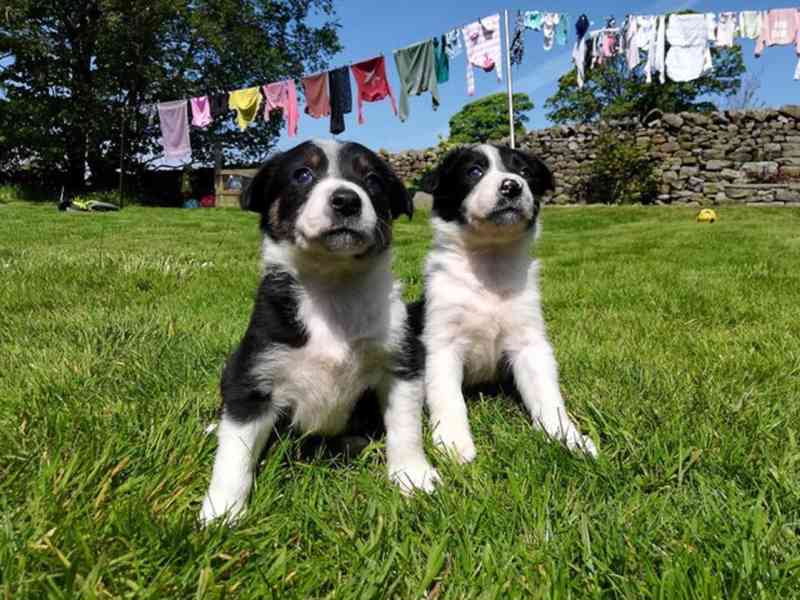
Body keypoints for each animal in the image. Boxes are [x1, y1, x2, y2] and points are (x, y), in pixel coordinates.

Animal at [200, 141, 438, 524]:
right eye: (302, 174)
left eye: (372, 179)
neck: (332, 287)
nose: (347, 200)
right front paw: (223, 512)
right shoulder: (252, 377)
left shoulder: (401, 362)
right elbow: (234, 453)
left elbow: (406, 428)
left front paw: (413, 476)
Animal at [416, 144, 596, 464]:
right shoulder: (442, 344)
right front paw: (453, 444)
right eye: (474, 171)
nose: (512, 186)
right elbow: (448, 398)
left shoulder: (530, 343)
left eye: (524, 171)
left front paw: (568, 438)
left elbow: (547, 394)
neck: (491, 259)